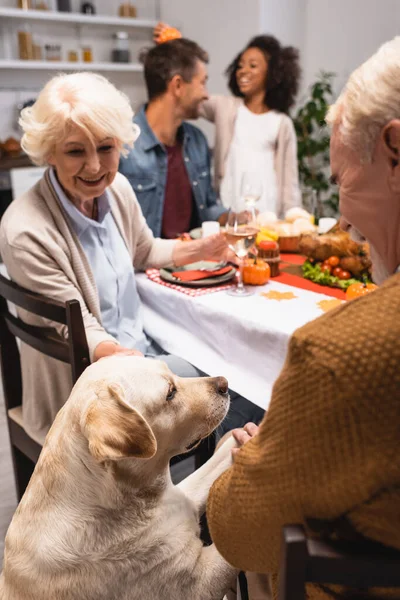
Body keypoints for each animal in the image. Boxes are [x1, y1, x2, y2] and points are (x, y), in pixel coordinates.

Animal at [0, 356, 238, 600]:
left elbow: (222, 455)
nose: (225, 384)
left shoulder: (184, 498)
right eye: (170, 393)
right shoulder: (199, 584)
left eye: (171, 372)